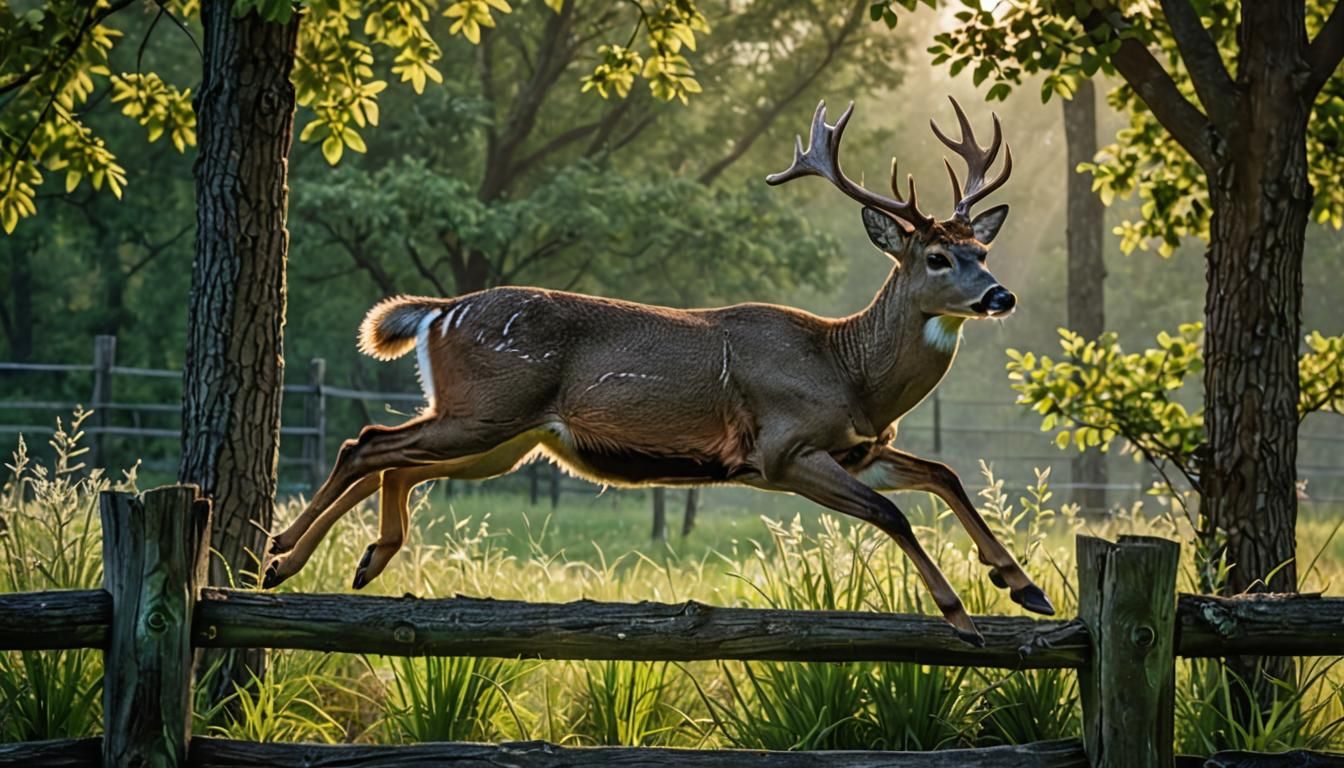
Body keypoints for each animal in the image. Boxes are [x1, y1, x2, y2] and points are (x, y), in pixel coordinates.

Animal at [262, 97, 1054, 646]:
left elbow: (943, 474)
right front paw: (961, 617)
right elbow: (893, 513)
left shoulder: (861, 449)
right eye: (937, 257)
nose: (1001, 296)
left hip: (503, 439)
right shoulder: (783, 449)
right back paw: (284, 560)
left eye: (981, 251)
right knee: (366, 442)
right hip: (485, 411)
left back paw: (350, 558)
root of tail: (439, 311)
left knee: (391, 461)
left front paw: (1024, 586)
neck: (849, 372)